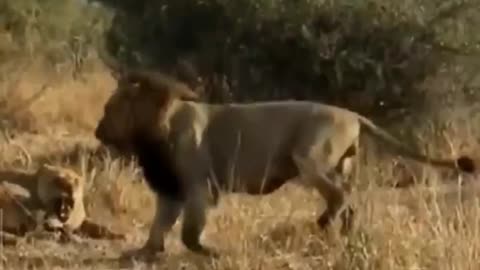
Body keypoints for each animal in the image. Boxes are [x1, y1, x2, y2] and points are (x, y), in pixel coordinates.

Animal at [95, 68, 474, 258]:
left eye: (109, 109)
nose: (98, 131)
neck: (154, 129)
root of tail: (353, 115)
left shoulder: (200, 186)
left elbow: (189, 231)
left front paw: (208, 252)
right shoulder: (170, 189)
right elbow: (158, 226)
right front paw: (144, 252)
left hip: (308, 157)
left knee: (340, 196)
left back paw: (324, 223)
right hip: (336, 166)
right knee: (349, 200)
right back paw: (345, 236)